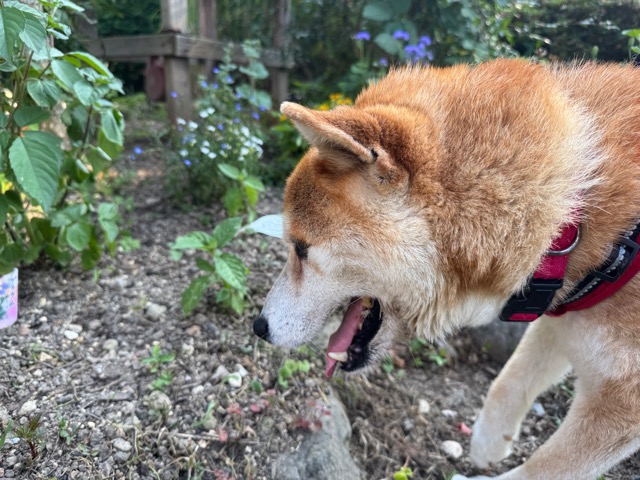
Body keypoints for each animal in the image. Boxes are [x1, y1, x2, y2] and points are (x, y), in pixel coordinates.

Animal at [254, 59, 640, 479]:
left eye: (301, 248)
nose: (258, 327)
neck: (573, 215)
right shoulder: (558, 318)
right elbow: (507, 381)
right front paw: (488, 444)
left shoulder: (620, 399)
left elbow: (541, 469)